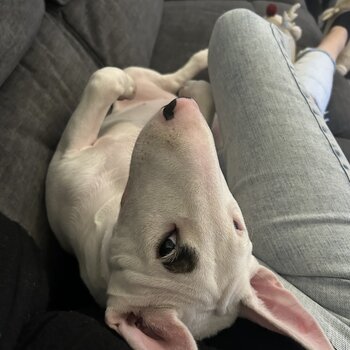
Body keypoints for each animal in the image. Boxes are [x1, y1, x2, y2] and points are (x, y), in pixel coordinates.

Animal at [45, 50, 332, 350]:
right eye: (238, 225)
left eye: (167, 246)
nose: (176, 110)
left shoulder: (65, 162)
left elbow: (102, 80)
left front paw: (122, 85)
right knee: (165, 79)